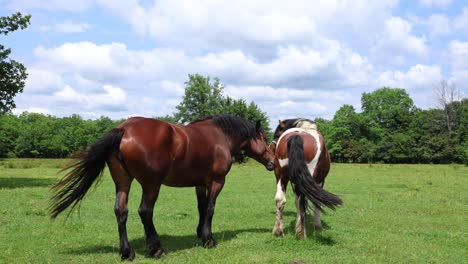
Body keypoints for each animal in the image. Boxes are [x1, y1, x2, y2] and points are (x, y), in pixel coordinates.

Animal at [49, 115, 274, 260]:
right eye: (264, 139)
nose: (272, 162)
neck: (220, 137)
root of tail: (124, 129)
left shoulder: (200, 184)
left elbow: (201, 208)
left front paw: (200, 234)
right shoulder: (217, 181)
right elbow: (210, 209)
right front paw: (209, 239)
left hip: (123, 182)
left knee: (121, 211)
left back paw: (127, 252)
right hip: (151, 185)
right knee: (145, 212)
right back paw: (156, 249)